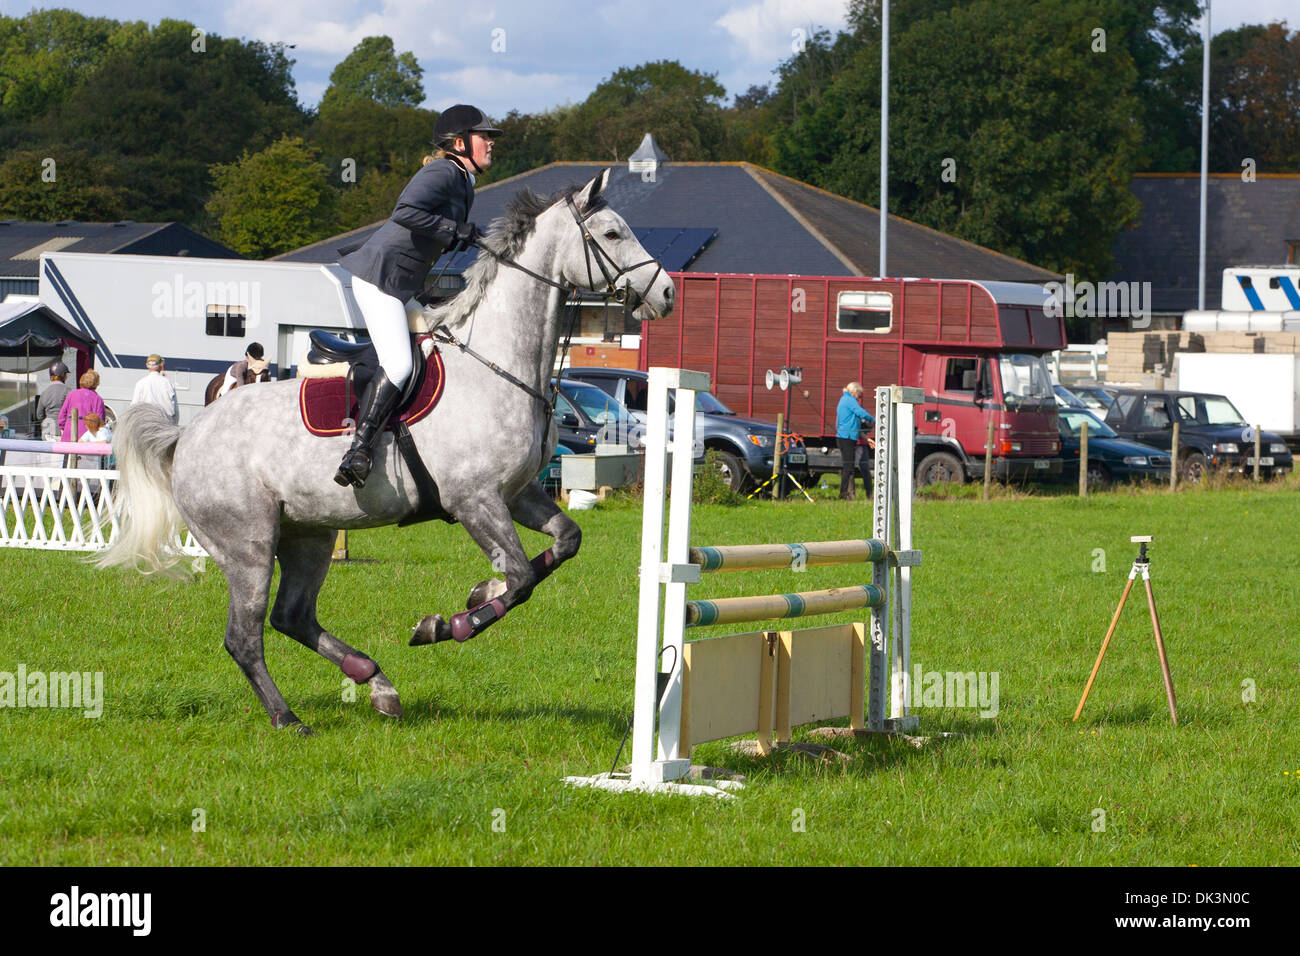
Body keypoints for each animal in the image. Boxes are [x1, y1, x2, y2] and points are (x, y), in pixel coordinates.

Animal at [98, 169, 676, 734]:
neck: (497, 363)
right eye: (612, 234)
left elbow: (564, 542)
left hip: (308, 535)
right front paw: (450, 623)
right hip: (248, 545)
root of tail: (188, 436)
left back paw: (375, 683)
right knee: (245, 634)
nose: (667, 293)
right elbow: (521, 578)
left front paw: (475, 594)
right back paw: (289, 718)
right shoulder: (475, 500)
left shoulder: (517, 493)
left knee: (292, 616)